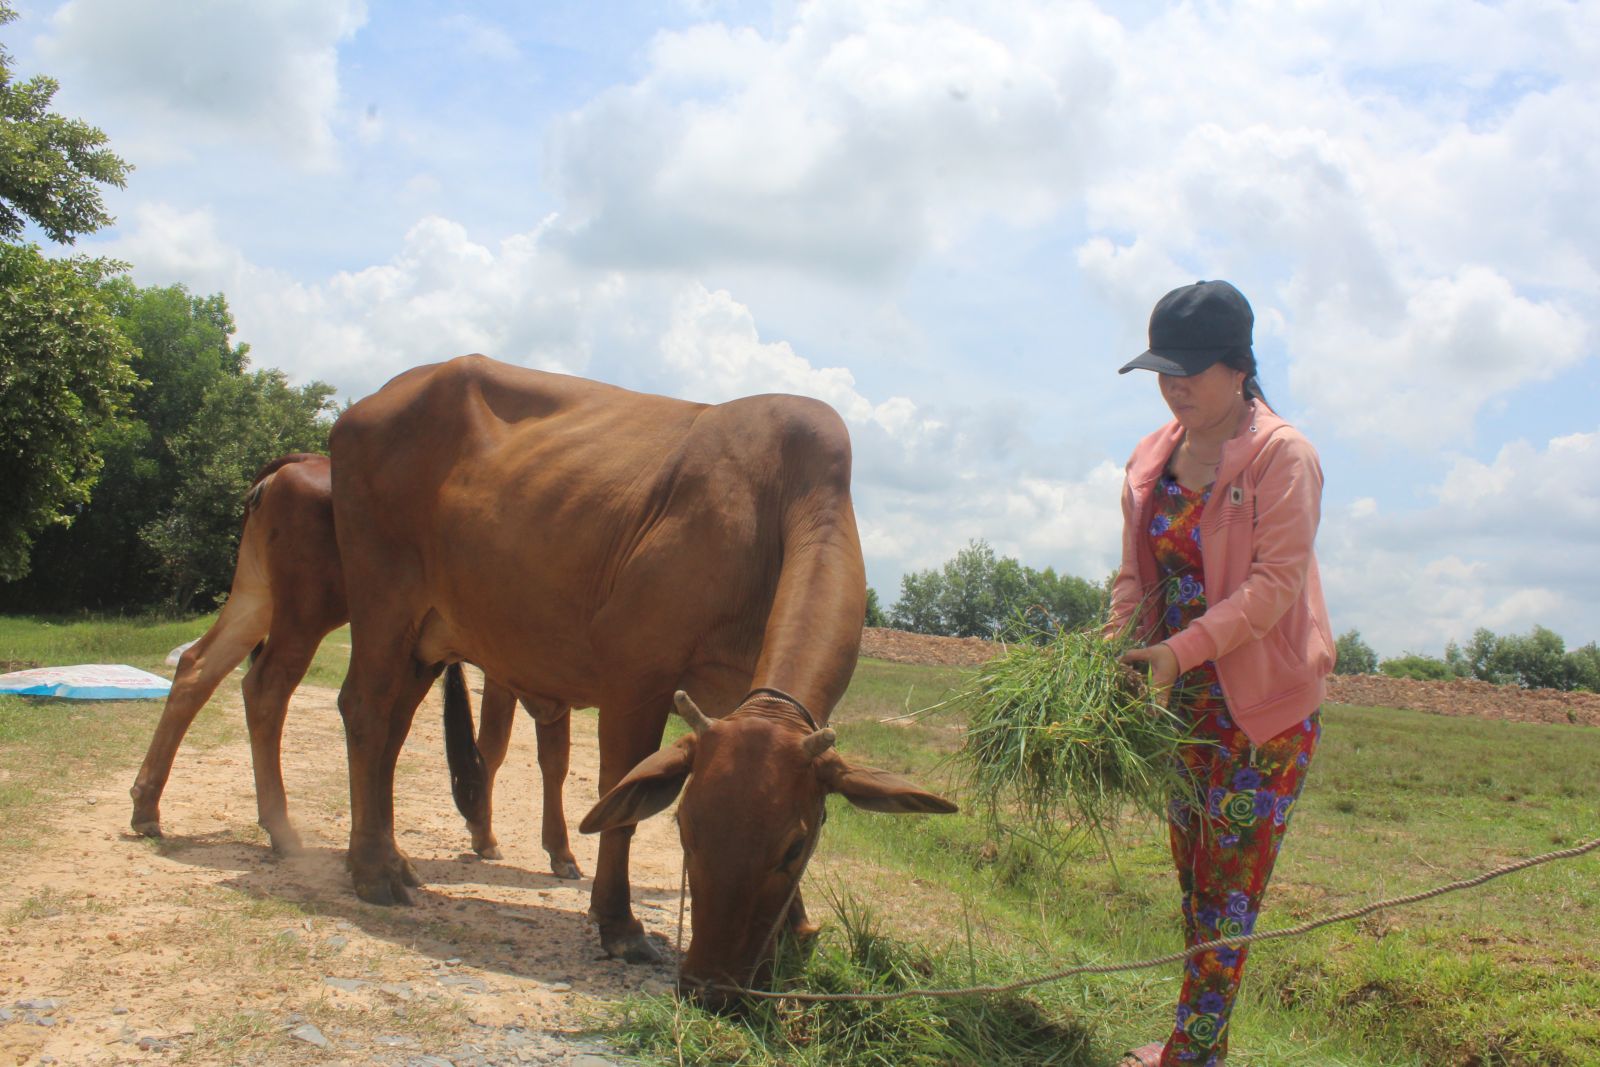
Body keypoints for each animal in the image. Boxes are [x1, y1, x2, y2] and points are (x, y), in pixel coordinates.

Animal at [128, 454, 582, 883]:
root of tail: (298, 462)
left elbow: (547, 757)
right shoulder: (514, 671)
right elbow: (502, 749)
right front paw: (513, 842)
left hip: (255, 596)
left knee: (197, 666)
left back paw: (147, 806)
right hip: (308, 609)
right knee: (266, 687)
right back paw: (283, 830)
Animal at [324, 356, 947, 991]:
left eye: (794, 848)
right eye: (685, 830)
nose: (710, 987)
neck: (777, 506)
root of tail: (366, 407)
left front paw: (795, 934)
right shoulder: (636, 679)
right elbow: (617, 801)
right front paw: (619, 925)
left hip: (424, 640)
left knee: (393, 731)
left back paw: (390, 857)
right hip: (384, 602)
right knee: (366, 711)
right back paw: (374, 872)